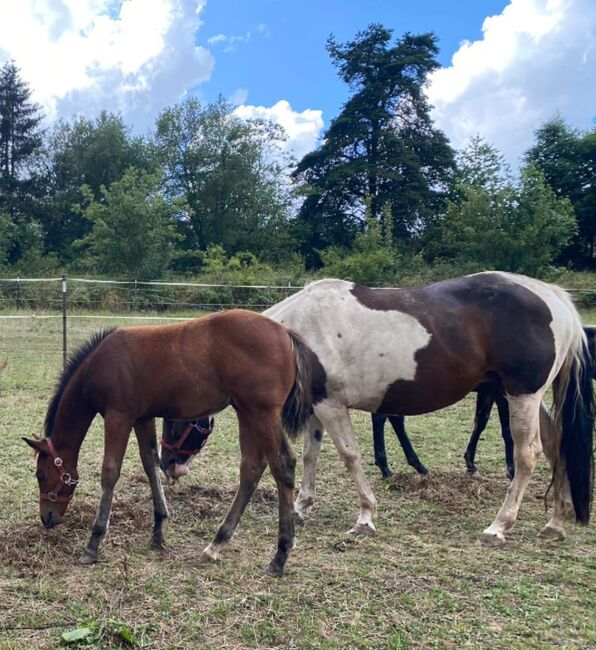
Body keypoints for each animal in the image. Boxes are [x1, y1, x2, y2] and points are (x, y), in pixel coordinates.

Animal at [24, 308, 326, 572]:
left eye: (40, 475)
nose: (47, 518)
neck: (98, 365)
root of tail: (286, 333)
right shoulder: (142, 417)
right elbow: (150, 464)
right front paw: (158, 530)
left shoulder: (118, 416)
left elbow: (109, 473)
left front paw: (94, 542)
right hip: (246, 411)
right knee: (251, 467)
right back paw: (216, 544)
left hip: (262, 412)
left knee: (282, 464)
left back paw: (280, 553)